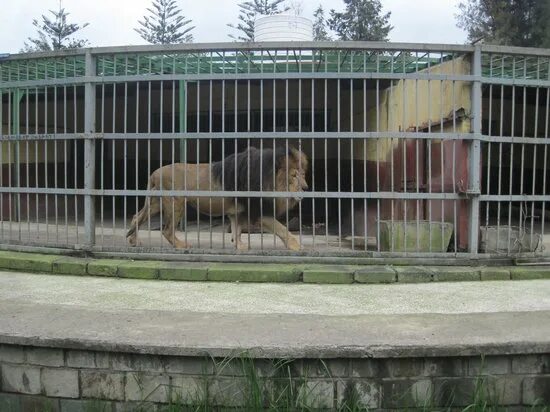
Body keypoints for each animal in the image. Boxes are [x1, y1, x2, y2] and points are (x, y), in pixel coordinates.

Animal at [127, 146, 312, 253]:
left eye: (303, 174)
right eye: (293, 175)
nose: (306, 188)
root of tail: (154, 173)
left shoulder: (238, 212)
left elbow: (237, 230)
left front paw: (240, 246)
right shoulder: (258, 211)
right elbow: (282, 229)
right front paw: (297, 246)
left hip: (156, 203)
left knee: (136, 217)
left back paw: (134, 240)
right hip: (176, 203)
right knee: (167, 230)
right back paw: (181, 246)